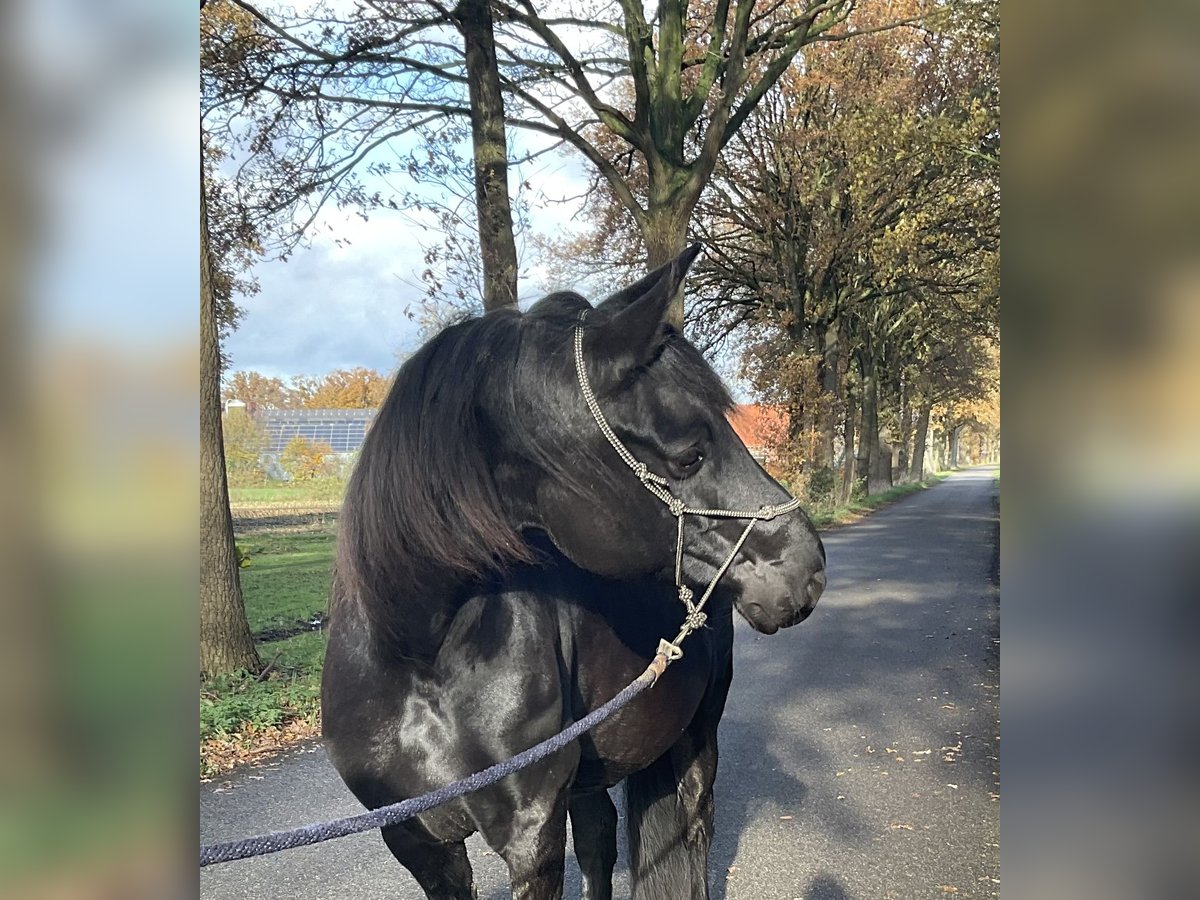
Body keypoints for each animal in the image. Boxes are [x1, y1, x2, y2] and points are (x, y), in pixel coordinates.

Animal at [319, 247, 825, 900]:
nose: (808, 566)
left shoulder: (531, 835)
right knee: (601, 834)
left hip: (697, 733)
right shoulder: (416, 841)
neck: (418, 660)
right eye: (690, 455)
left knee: (694, 823)